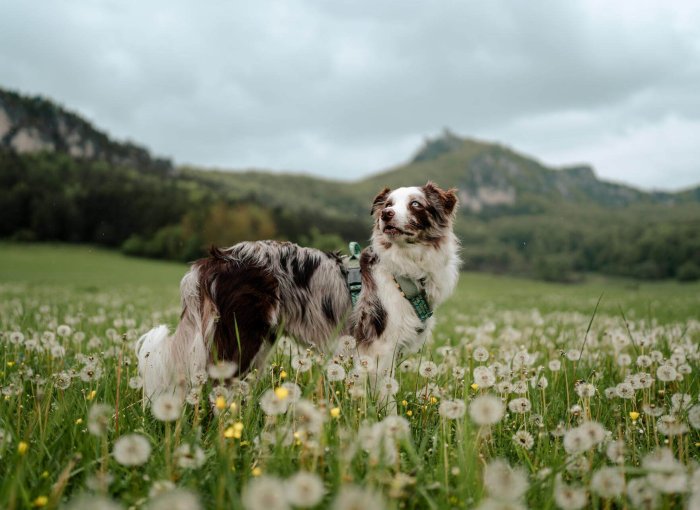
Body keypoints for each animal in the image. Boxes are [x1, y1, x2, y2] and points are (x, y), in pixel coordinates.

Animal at [138, 181, 460, 400]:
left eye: (416, 204)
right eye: (388, 204)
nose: (387, 215)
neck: (403, 267)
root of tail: (216, 259)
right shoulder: (378, 349)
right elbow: (385, 401)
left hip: (258, 342)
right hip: (240, 338)